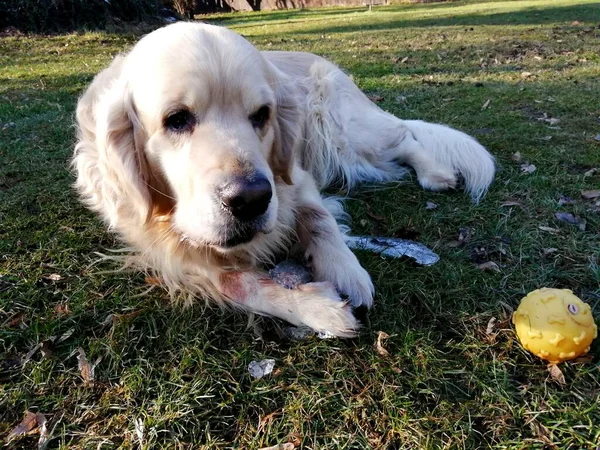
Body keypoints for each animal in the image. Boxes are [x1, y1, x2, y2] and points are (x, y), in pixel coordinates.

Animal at [72, 22, 494, 338]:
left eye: (262, 114)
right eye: (176, 119)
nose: (251, 199)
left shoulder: (294, 177)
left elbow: (320, 219)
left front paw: (346, 269)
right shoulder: (167, 248)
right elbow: (239, 284)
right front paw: (316, 307)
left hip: (339, 130)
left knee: (405, 137)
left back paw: (435, 173)